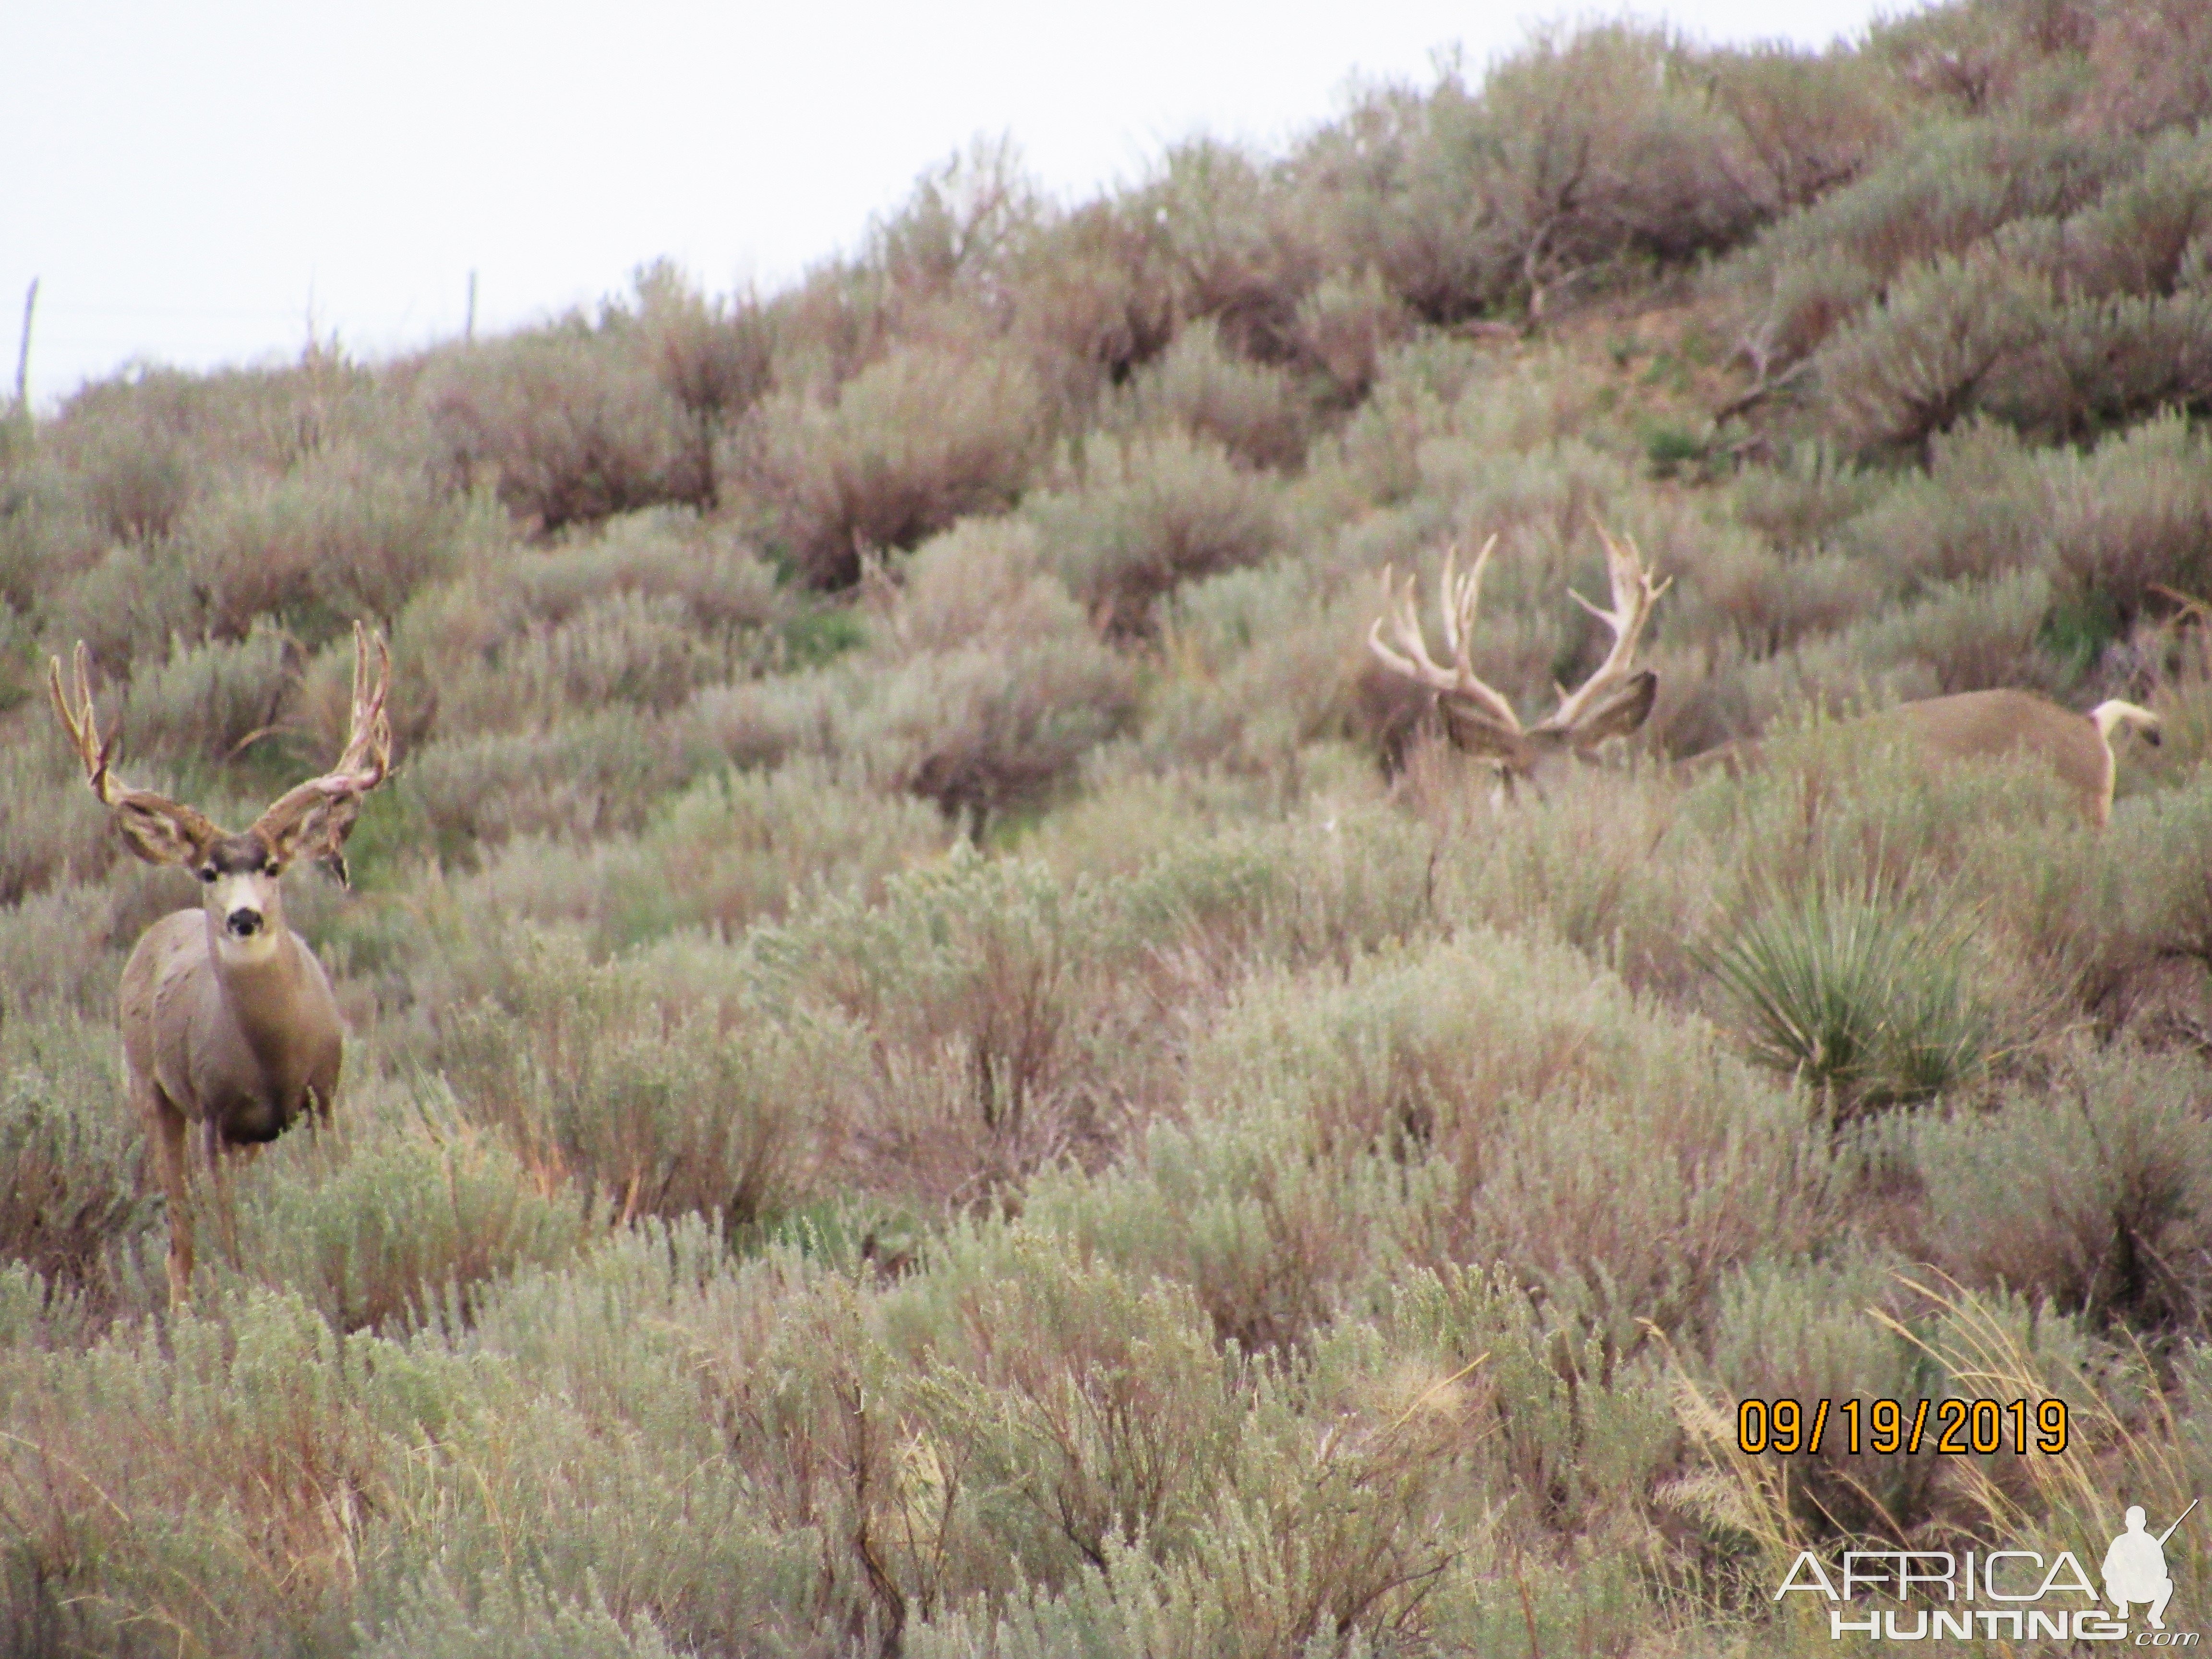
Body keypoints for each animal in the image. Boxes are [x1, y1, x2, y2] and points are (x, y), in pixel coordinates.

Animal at [50, 628, 398, 1309]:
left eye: (273, 866)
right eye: (210, 871)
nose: (243, 918)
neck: (273, 1055)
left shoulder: (324, 1097)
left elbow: (331, 1191)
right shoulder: (214, 1113)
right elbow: (227, 1234)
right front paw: (244, 1297)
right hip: (152, 1091)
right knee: (181, 1233)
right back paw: (183, 1311)